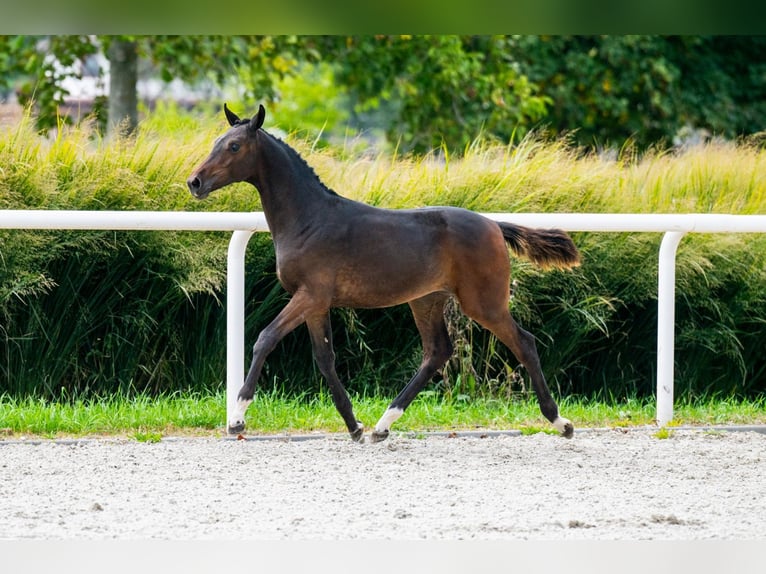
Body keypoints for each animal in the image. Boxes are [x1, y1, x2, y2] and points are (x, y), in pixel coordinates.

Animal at [187, 104, 581, 443]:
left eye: (234, 146)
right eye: (216, 142)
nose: (195, 182)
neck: (308, 219)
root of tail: (495, 226)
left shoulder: (310, 295)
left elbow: (265, 338)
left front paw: (237, 418)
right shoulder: (316, 303)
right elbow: (325, 359)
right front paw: (355, 427)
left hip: (484, 303)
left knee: (524, 343)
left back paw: (560, 422)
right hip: (426, 300)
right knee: (437, 352)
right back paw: (382, 425)